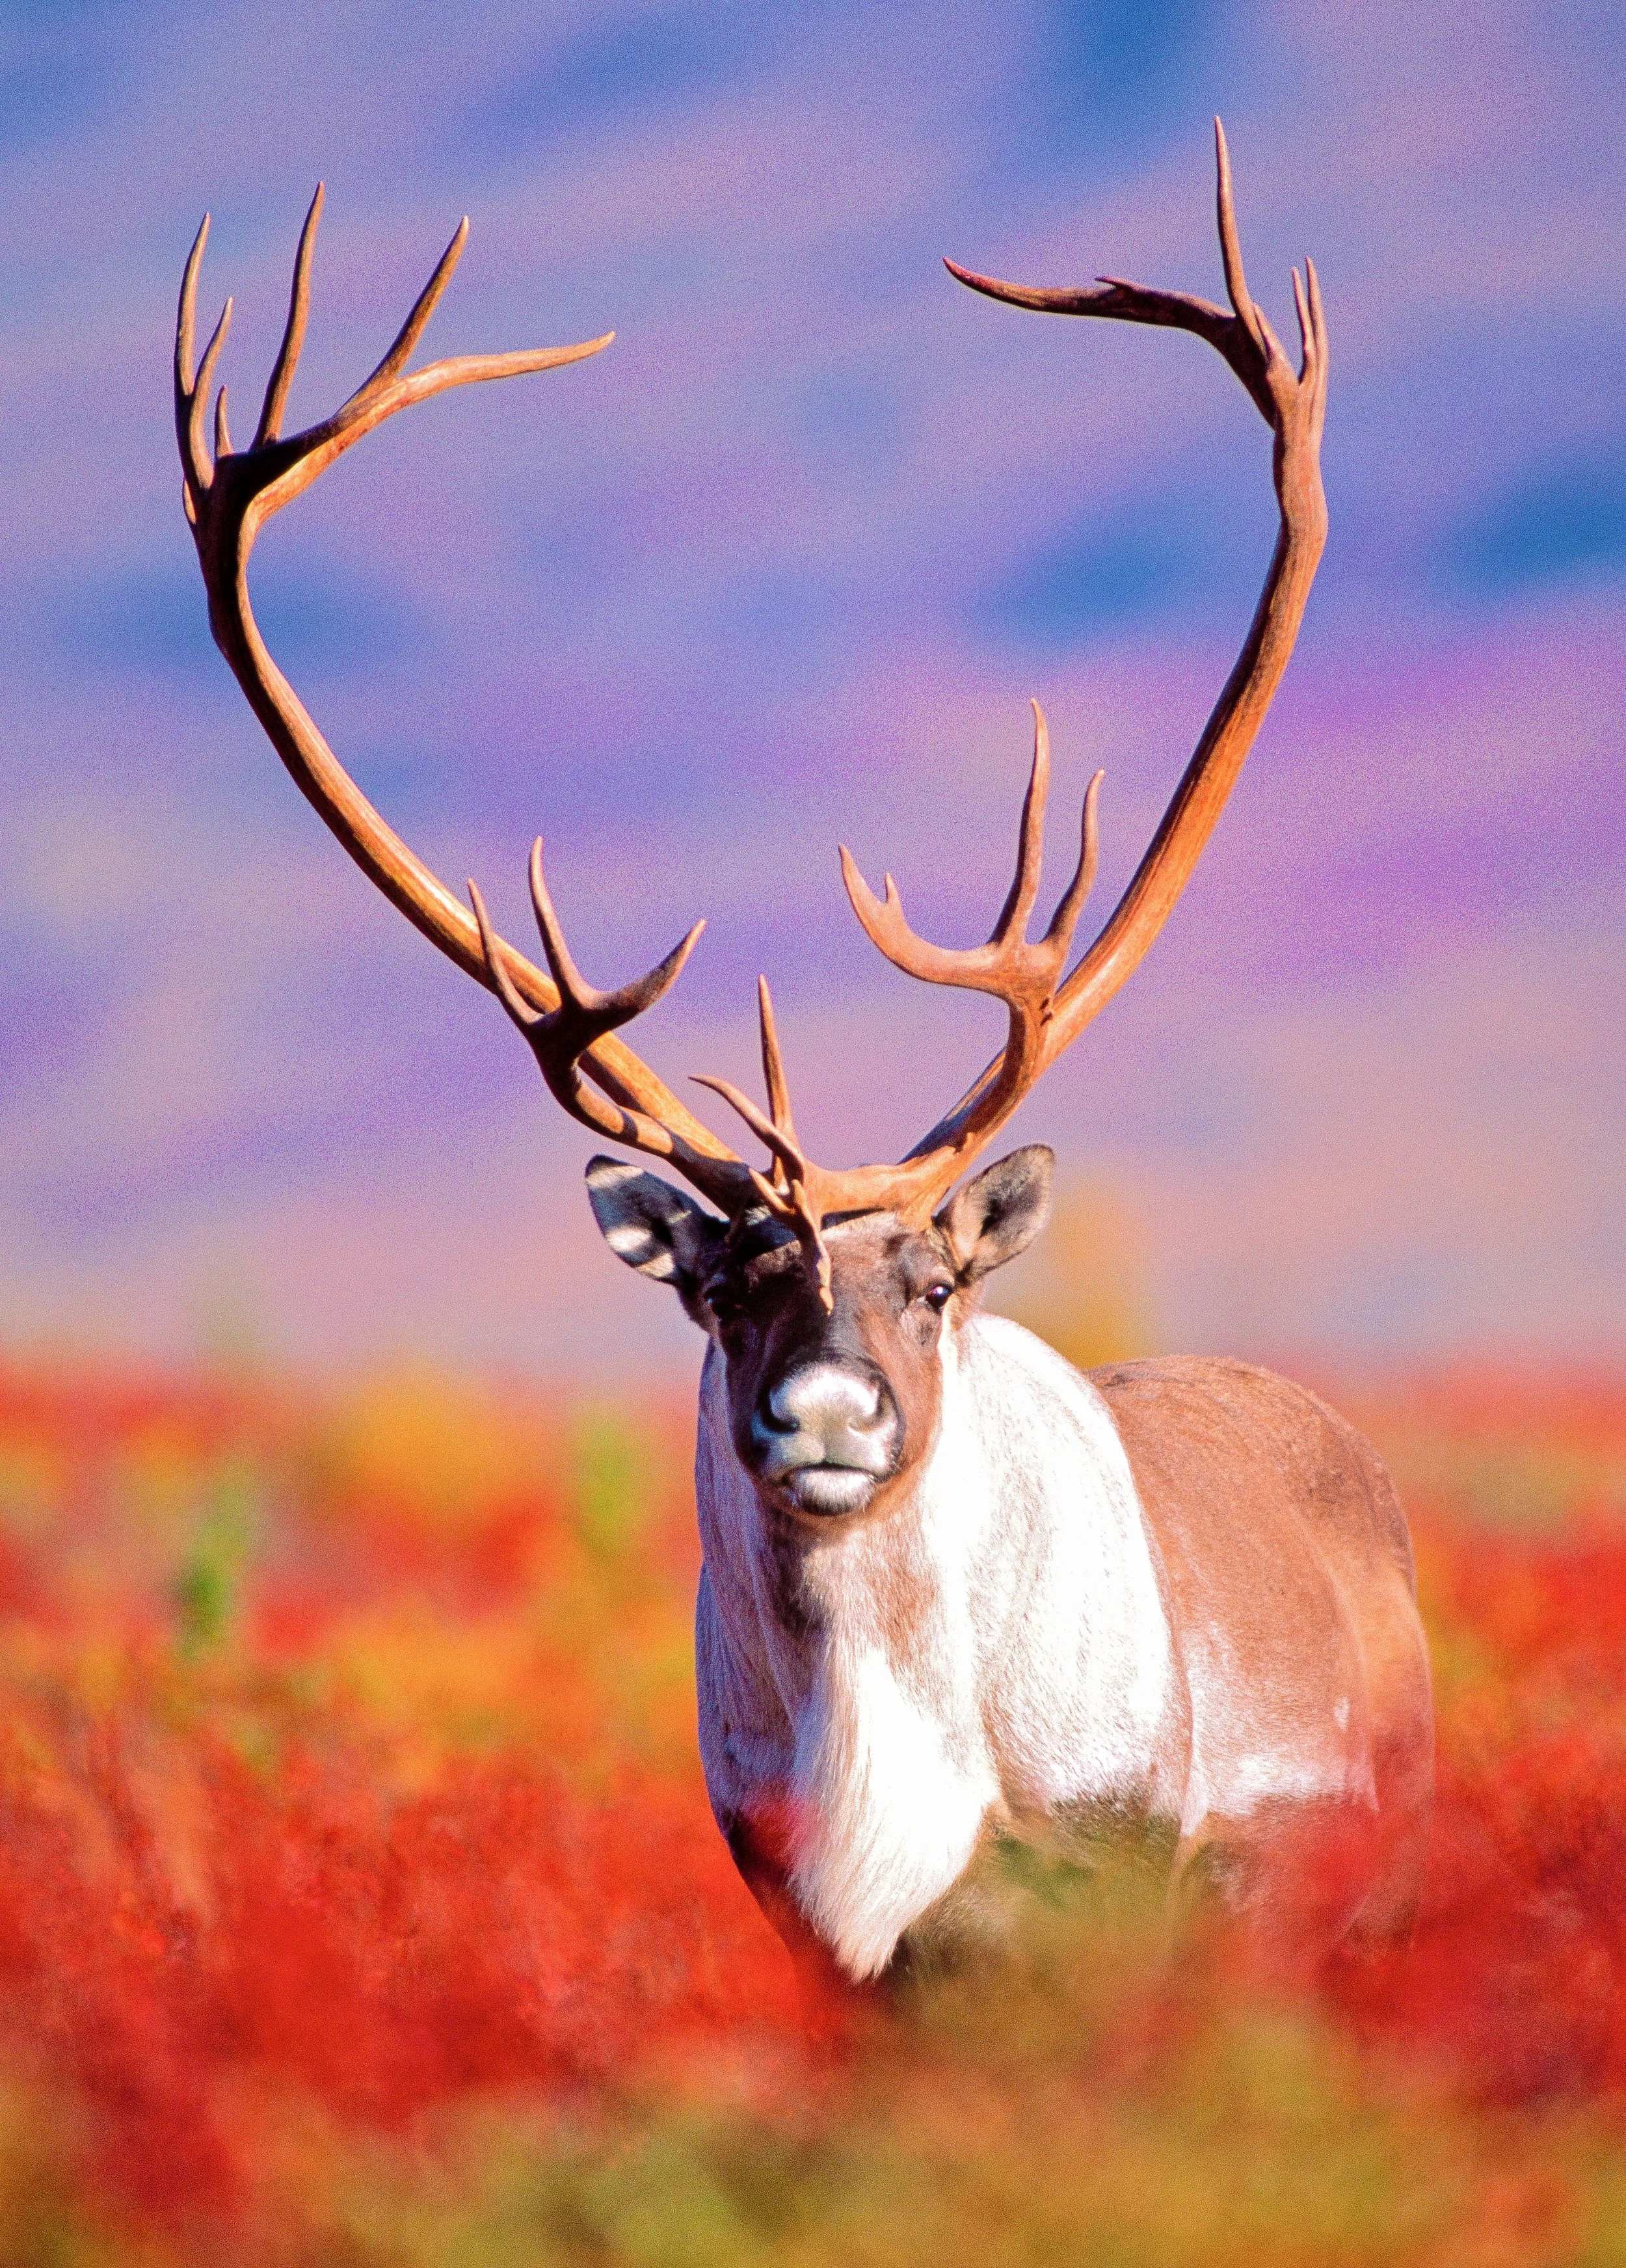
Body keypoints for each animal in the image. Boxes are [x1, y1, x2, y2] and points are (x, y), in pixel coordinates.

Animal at [175, 124, 1433, 1987]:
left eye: (934, 1284)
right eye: (718, 1289)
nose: (826, 1412)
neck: (892, 1784)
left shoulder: (1122, 1875)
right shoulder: (825, 1939)